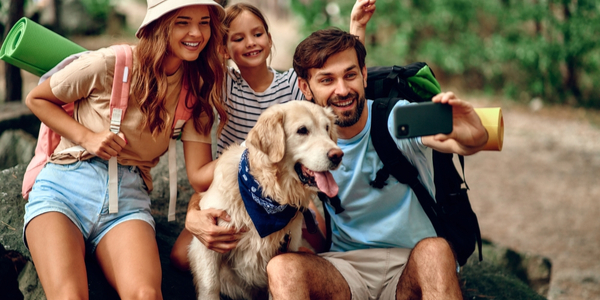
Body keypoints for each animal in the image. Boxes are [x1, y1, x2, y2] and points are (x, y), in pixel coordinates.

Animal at [190, 101, 344, 300]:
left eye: (326, 128)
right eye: (302, 130)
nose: (338, 155)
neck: (267, 194)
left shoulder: (286, 249)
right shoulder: (208, 244)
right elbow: (210, 286)